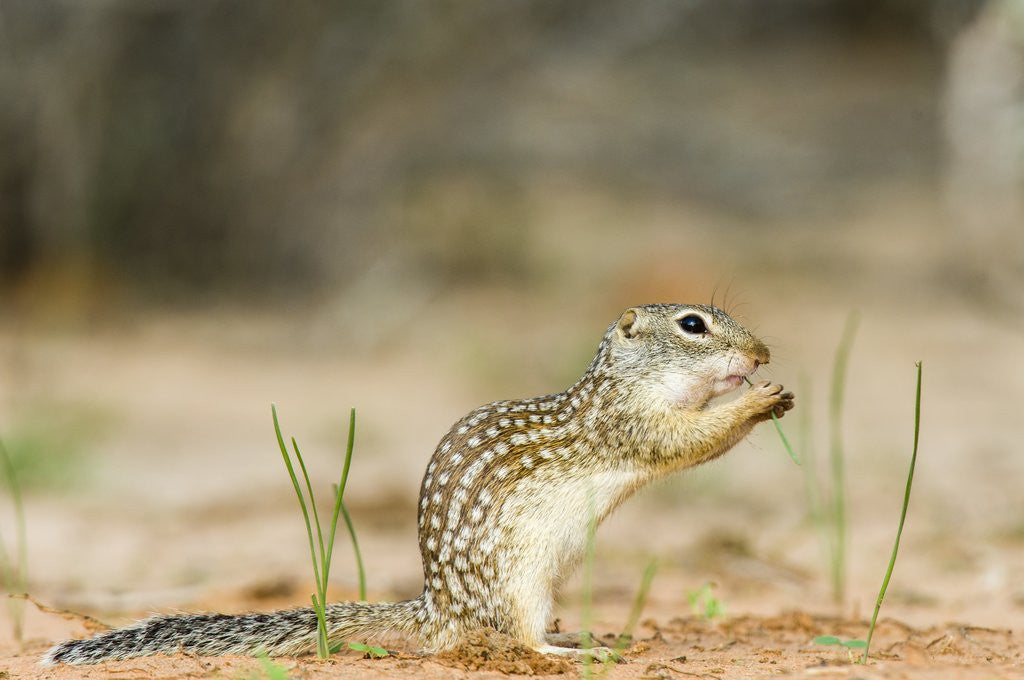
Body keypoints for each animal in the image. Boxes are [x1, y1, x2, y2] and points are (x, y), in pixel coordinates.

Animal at [44, 303, 793, 665]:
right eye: (693, 324)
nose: (762, 353)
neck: (623, 380)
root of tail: (436, 609)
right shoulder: (628, 423)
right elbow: (687, 442)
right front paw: (756, 402)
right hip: (520, 585)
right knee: (514, 638)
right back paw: (569, 648)